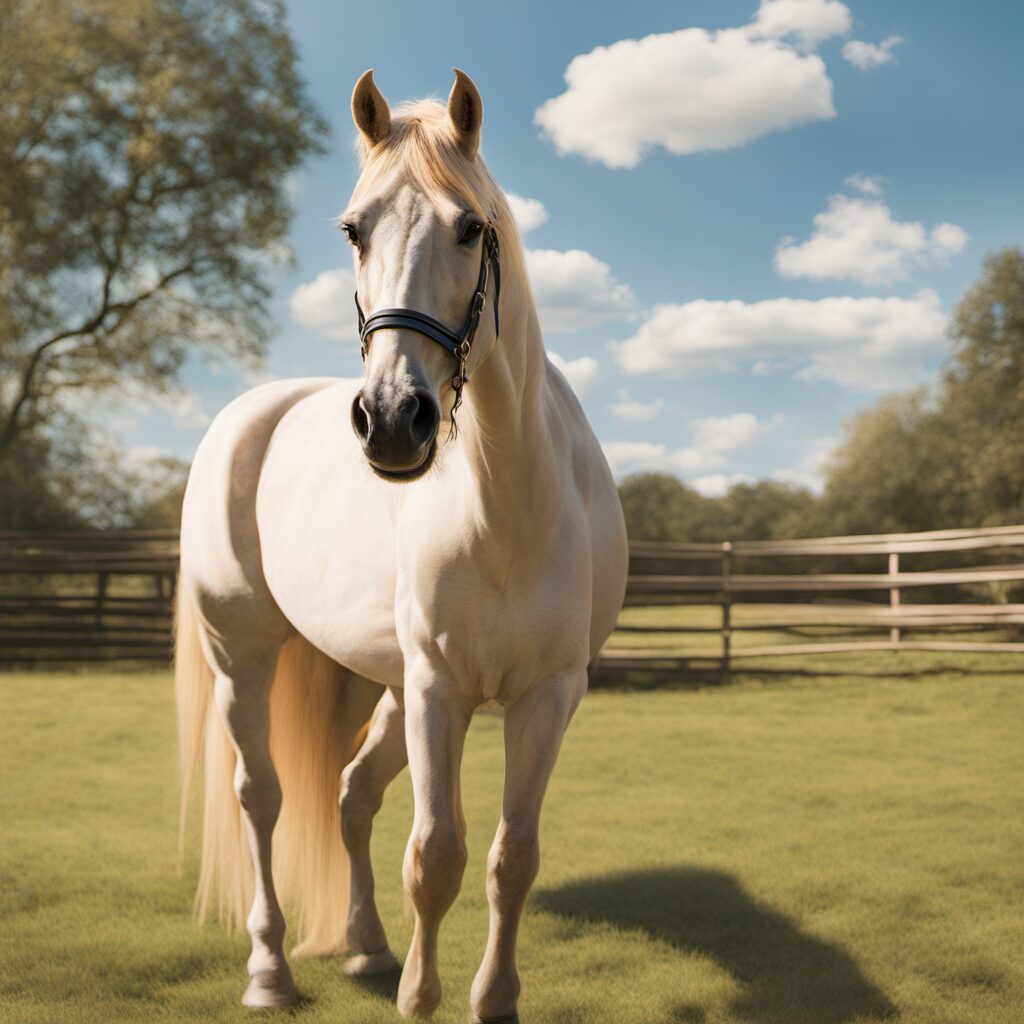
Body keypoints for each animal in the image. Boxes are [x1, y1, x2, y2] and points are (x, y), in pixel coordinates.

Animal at [174, 68, 628, 1022]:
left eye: (470, 228)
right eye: (355, 229)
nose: (390, 419)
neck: (506, 508)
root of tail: (250, 415)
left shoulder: (547, 697)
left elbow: (510, 858)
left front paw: (491, 999)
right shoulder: (436, 691)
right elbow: (437, 854)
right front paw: (422, 997)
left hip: (380, 683)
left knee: (349, 796)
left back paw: (366, 947)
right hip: (245, 657)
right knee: (260, 798)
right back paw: (270, 969)